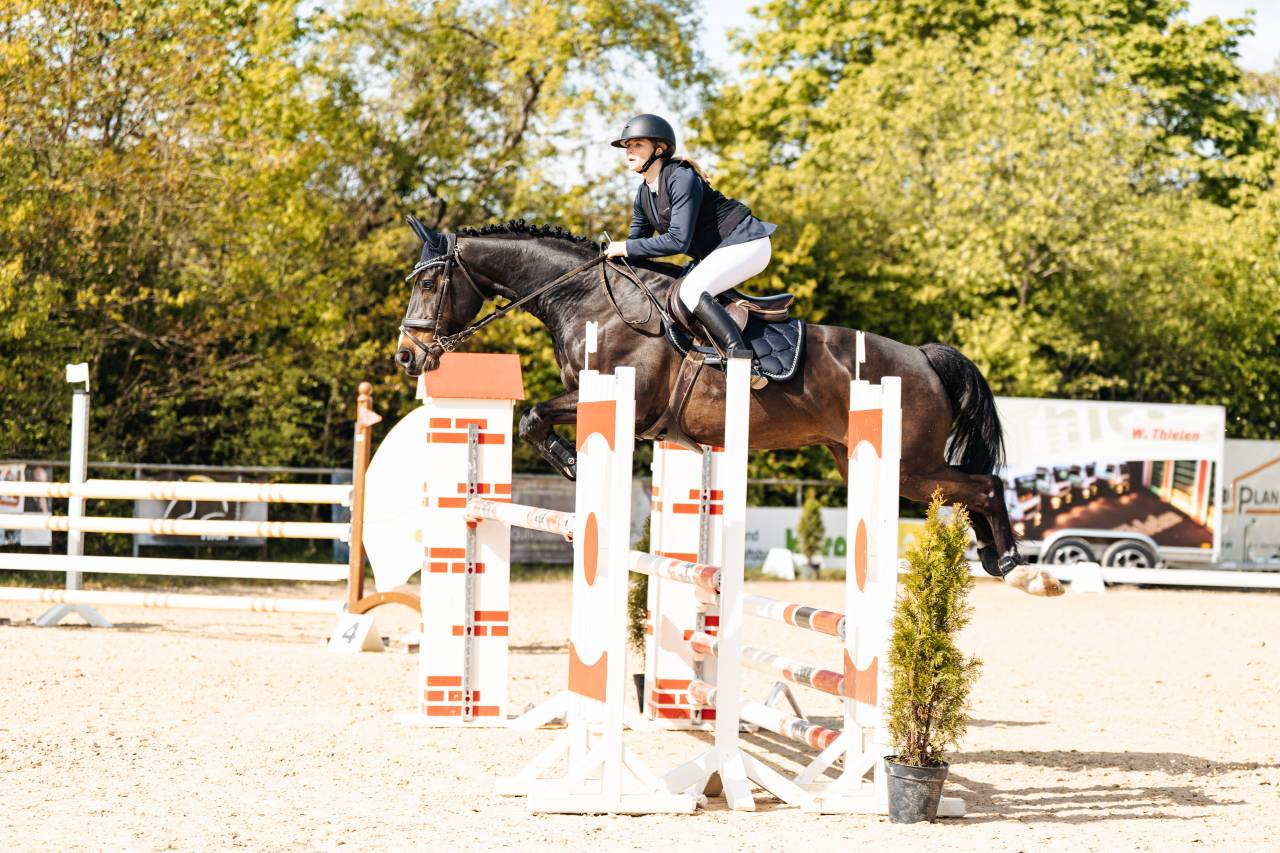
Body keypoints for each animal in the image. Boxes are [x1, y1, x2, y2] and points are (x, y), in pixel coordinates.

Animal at [394, 220, 1062, 596]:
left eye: (428, 284)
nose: (407, 355)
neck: (589, 301)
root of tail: (923, 356)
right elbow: (533, 416)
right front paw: (577, 469)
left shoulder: (621, 401)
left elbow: (533, 415)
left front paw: (576, 468)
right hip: (864, 461)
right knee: (971, 488)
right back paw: (998, 561)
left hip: (909, 466)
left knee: (984, 484)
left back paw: (1019, 568)